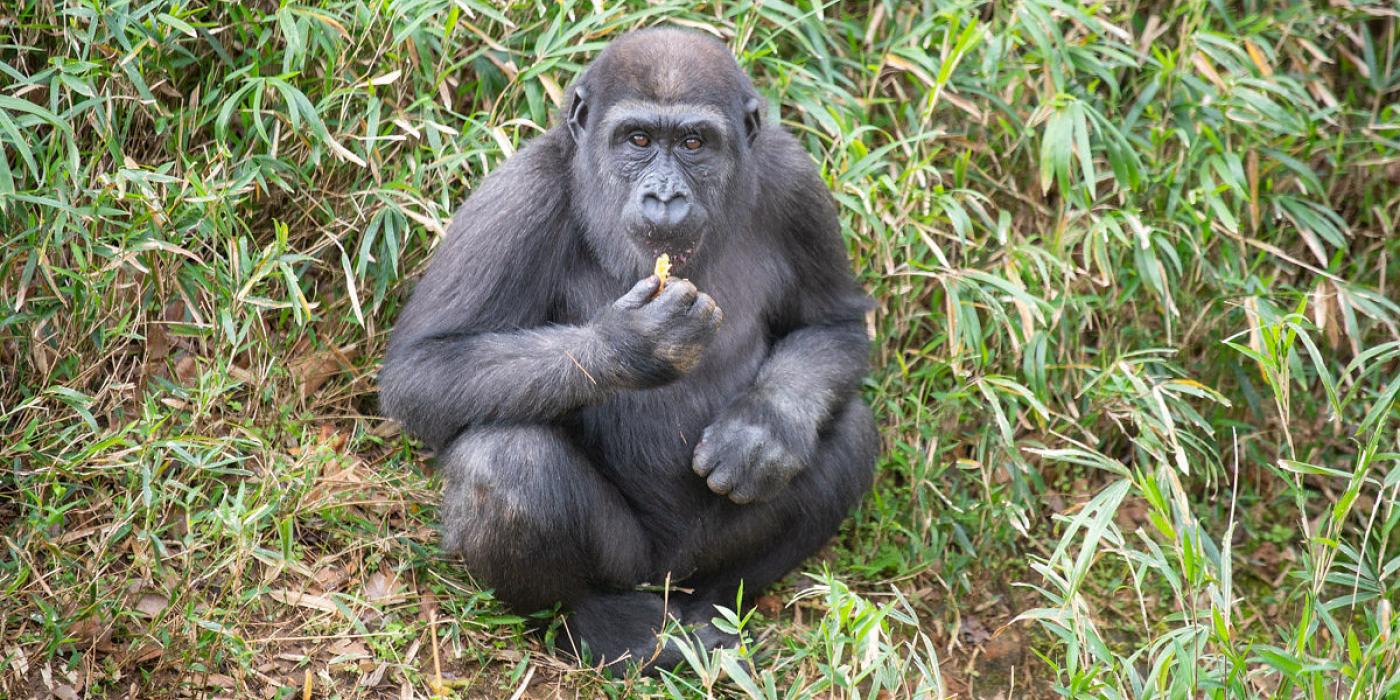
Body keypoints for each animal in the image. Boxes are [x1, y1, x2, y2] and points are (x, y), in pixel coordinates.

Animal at [380, 27, 873, 669]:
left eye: (694, 143)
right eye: (637, 139)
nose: (664, 197)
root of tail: (665, 580)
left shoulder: (796, 183)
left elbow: (832, 324)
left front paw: (763, 430)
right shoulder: (518, 195)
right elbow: (423, 369)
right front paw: (629, 345)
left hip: (695, 563)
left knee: (850, 432)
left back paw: (716, 606)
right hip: (628, 565)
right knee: (508, 463)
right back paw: (603, 622)